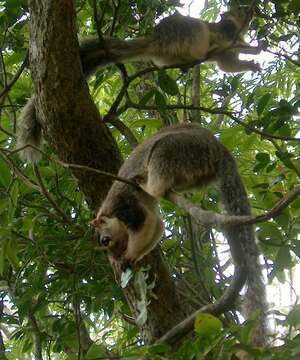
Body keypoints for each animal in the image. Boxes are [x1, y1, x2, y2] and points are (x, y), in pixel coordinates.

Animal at [15, 7, 262, 162]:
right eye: (238, 10)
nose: (252, 11)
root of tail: (155, 41)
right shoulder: (226, 35)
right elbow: (231, 48)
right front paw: (255, 48)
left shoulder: (227, 53)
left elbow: (229, 64)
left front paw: (251, 63)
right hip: (191, 33)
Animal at [91, 123, 268, 346]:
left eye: (105, 240)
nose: (115, 257)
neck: (110, 212)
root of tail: (219, 150)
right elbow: (157, 226)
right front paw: (134, 258)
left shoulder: (128, 208)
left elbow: (147, 225)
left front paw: (129, 256)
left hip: (172, 150)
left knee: (159, 178)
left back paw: (148, 184)